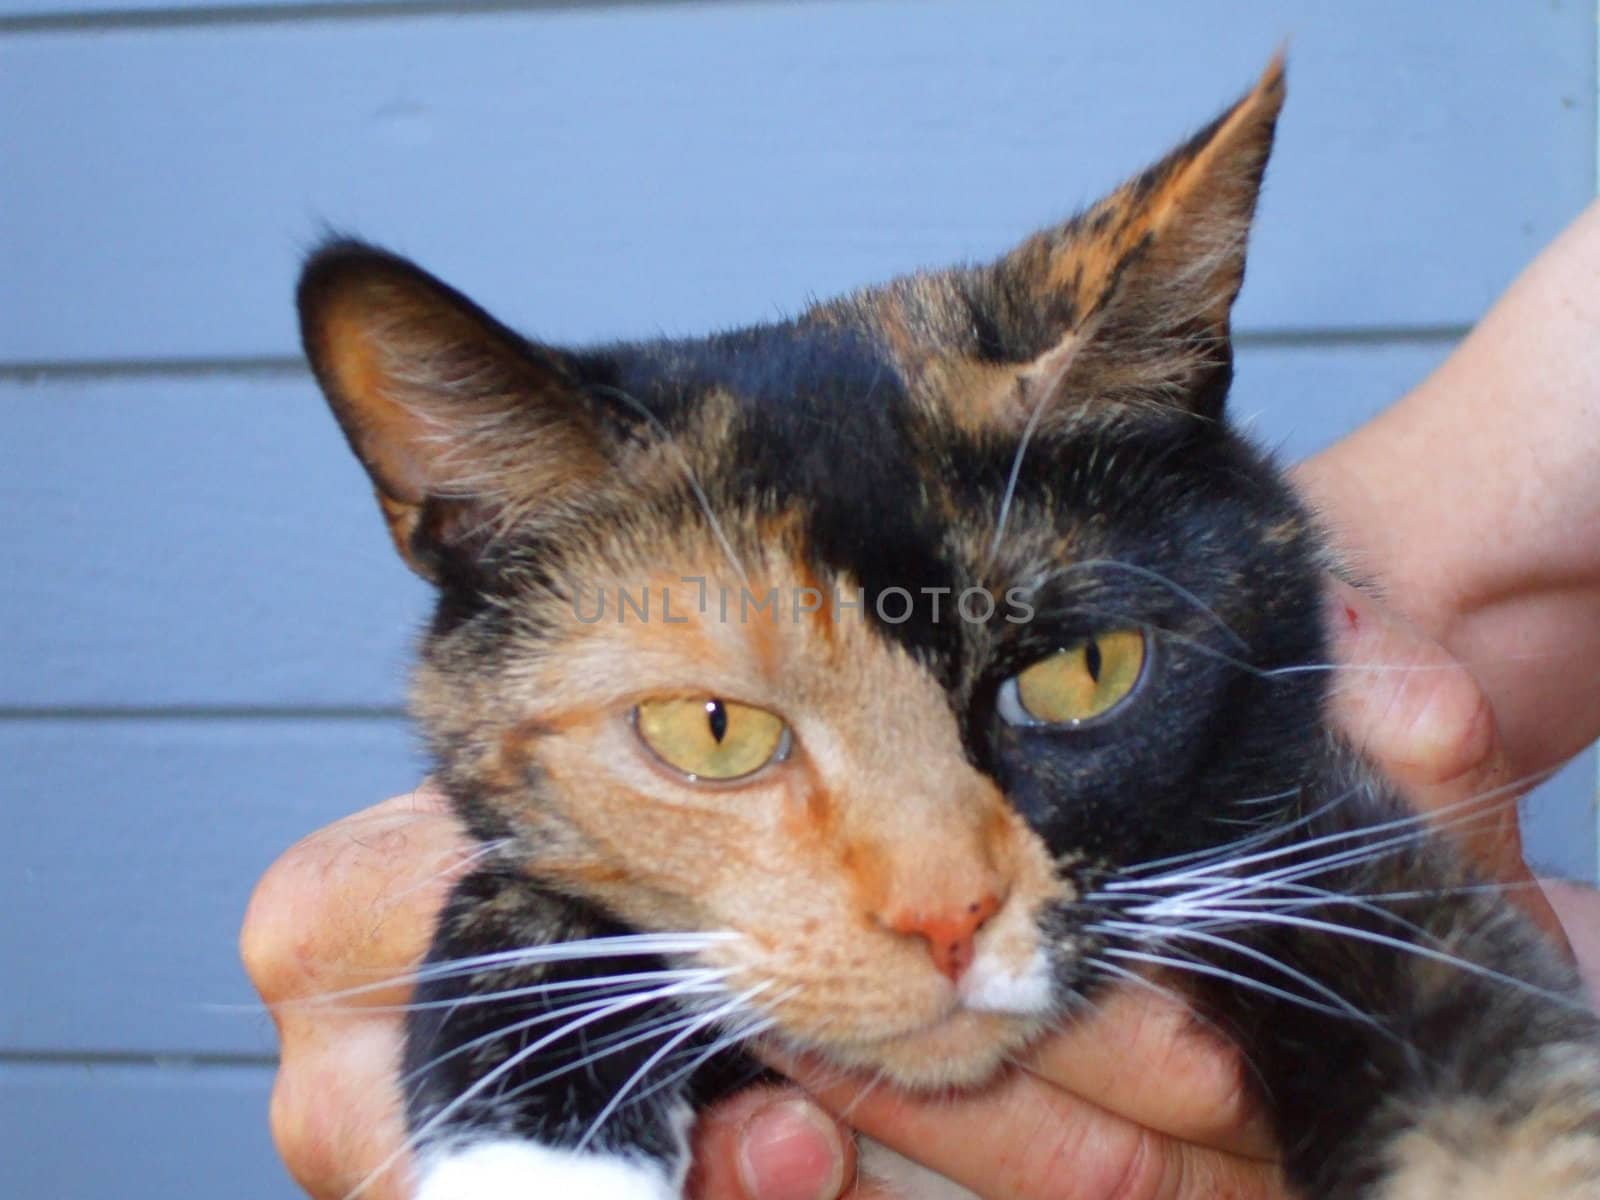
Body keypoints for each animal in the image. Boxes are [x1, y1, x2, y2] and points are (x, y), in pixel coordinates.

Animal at [294, 63, 1600, 1200]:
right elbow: (520, 914)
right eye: (711, 730)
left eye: (1080, 674)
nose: (945, 919)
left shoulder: (1304, 829)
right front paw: (531, 1160)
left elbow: (1464, 1014)